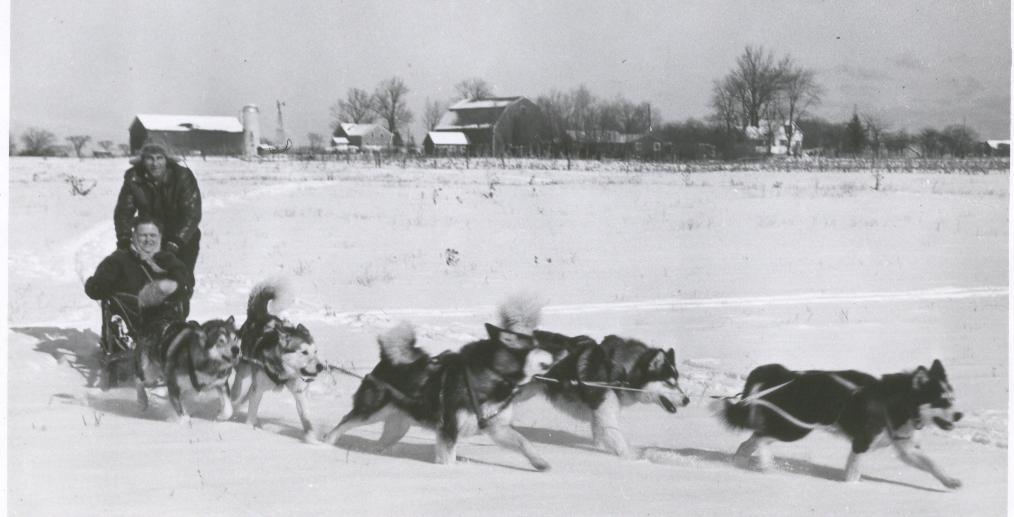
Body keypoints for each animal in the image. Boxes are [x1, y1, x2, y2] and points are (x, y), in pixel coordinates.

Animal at [230, 279, 326, 442]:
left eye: (315, 351)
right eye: (304, 352)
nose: (320, 367)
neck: (284, 370)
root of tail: (261, 315)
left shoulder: (299, 392)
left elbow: (306, 419)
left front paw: (312, 441)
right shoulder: (258, 389)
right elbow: (251, 413)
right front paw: (248, 430)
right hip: (245, 368)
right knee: (238, 385)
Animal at [324, 295, 555, 471]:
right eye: (537, 344)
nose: (556, 353)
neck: (493, 376)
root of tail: (385, 361)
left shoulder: (497, 427)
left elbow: (524, 442)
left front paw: (541, 463)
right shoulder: (448, 429)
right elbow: (447, 459)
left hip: (396, 427)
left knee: (379, 443)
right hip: (370, 412)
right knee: (344, 422)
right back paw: (323, 444)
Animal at [519, 330, 691, 458]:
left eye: (677, 381)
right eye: (669, 383)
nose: (687, 400)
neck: (623, 372)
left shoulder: (599, 415)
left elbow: (600, 438)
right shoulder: (606, 414)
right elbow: (618, 440)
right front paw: (637, 458)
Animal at [720, 360, 963, 489]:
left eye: (953, 398)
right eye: (942, 401)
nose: (960, 414)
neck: (898, 402)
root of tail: (784, 373)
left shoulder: (907, 449)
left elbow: (932, 464)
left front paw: (950, 481)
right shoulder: (861, 443)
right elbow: (853, 473)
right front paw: (850, 490)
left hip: (790, 424)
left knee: (749, 441)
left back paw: (740, 463)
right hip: (796, 428)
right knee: (759, 438)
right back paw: (766, 463)